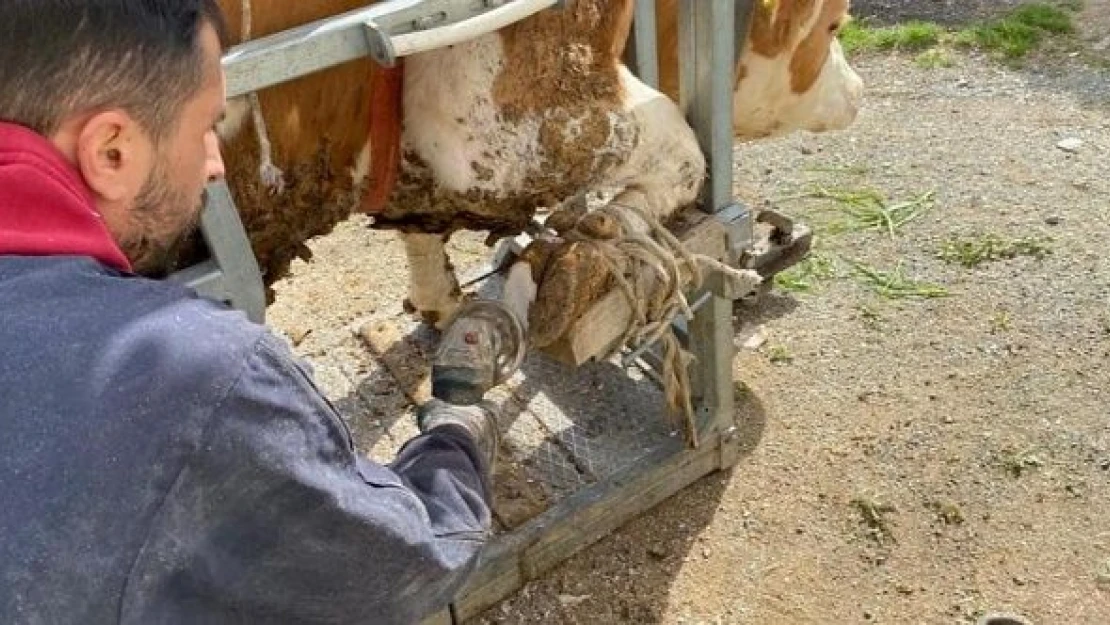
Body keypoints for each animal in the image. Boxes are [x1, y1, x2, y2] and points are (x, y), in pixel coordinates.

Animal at [214, 0, 856, 330]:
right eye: (835, 24)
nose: (860, 90)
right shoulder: (494, 122)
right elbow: (682, 151)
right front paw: (605, 241)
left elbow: (421, 232)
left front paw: (441, 301)